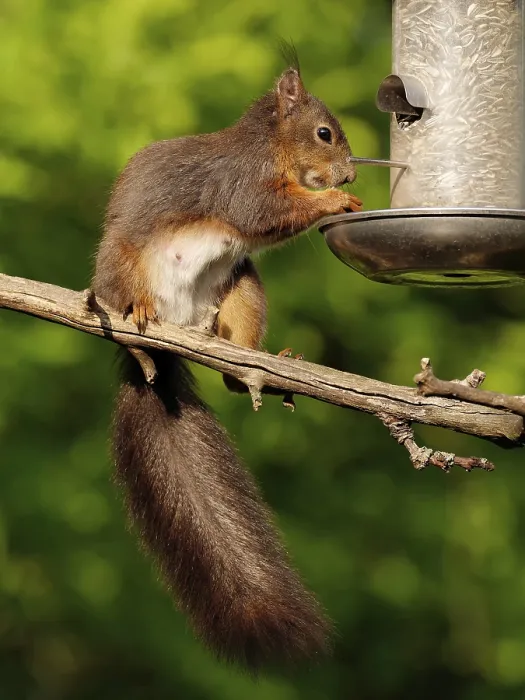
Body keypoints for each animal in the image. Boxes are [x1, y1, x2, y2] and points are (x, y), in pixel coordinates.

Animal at [92, 62, 362, 671]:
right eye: (324, 134)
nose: (351, 173)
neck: (269, 149)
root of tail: (171, 344)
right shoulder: (241, 185)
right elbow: (265, 212)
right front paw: (336, 202)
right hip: (120, 267)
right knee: (123, 297)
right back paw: (138, 324)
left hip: (239, 288)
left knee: (232, 368)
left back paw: (257, 367)